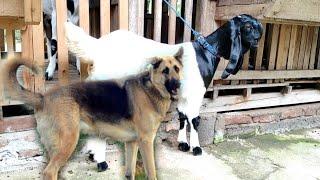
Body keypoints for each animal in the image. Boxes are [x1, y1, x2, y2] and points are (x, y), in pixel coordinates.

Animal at [2, 47, 184, 179]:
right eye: (165, 71)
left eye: (176, 68)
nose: (178, 85)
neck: (151, 89)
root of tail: (43, 97)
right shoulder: (146, 142)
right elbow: (152, 173)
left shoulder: (131, 143)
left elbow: (129, 173)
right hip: (68, 142)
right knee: (49, 171)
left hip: (55, 148)